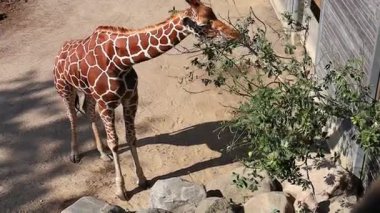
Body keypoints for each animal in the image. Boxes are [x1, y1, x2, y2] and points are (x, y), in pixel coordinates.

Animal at [52, 0, 238, 200]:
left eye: (214, 14)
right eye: (203, 23)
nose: (235, 34)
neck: (120, 61)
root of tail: (59, 52)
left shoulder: (131, 99)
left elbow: (131, 138)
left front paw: (142, 180)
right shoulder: (106, 104)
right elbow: (114, 143)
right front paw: (121, 191)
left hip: (89, 93)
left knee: (87, 110)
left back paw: (102, 154)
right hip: (65, 88)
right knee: (72, 116)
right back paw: (75, 155)